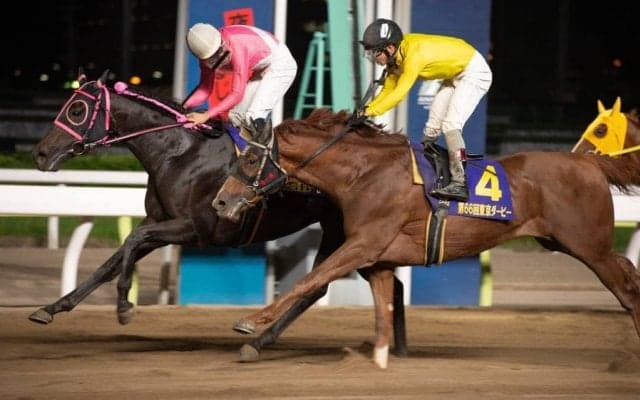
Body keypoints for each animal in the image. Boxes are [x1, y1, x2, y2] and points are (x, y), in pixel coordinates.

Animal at [30, 70, 408, 361]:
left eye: (77, 109)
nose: (41, 154)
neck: (180, 154)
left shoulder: (196, 228)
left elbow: (132, 243)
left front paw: (124, 308)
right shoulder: (157, 221)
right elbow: (112, 261)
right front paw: (51, 308)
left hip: (351, 233)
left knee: (317, 287)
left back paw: (260, 342)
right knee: (379, 284)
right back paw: (397, 345)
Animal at [212, 107, 640, 368]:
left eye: (251, 159)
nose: (220, 201)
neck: (364, 173)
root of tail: (587, 161)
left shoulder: (364, 244)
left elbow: (308, 281)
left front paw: (250, 323)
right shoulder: (378, 258)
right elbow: (381, 309)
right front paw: (378, 359)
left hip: (590, 246)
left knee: (626, 290)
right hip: (573, 243)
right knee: (628, 271)